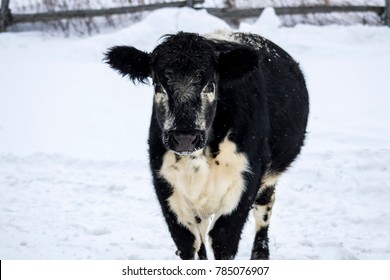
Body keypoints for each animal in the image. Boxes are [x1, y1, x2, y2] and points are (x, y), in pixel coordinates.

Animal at [105, 30, 310, 260]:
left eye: (210, 85)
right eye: (158, 85)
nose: (185, 138)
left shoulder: (246, 179)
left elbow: (223, 239)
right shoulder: (166, 184)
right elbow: (189, 243)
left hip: (269, 177)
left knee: (264, 209)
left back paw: (260, 254)